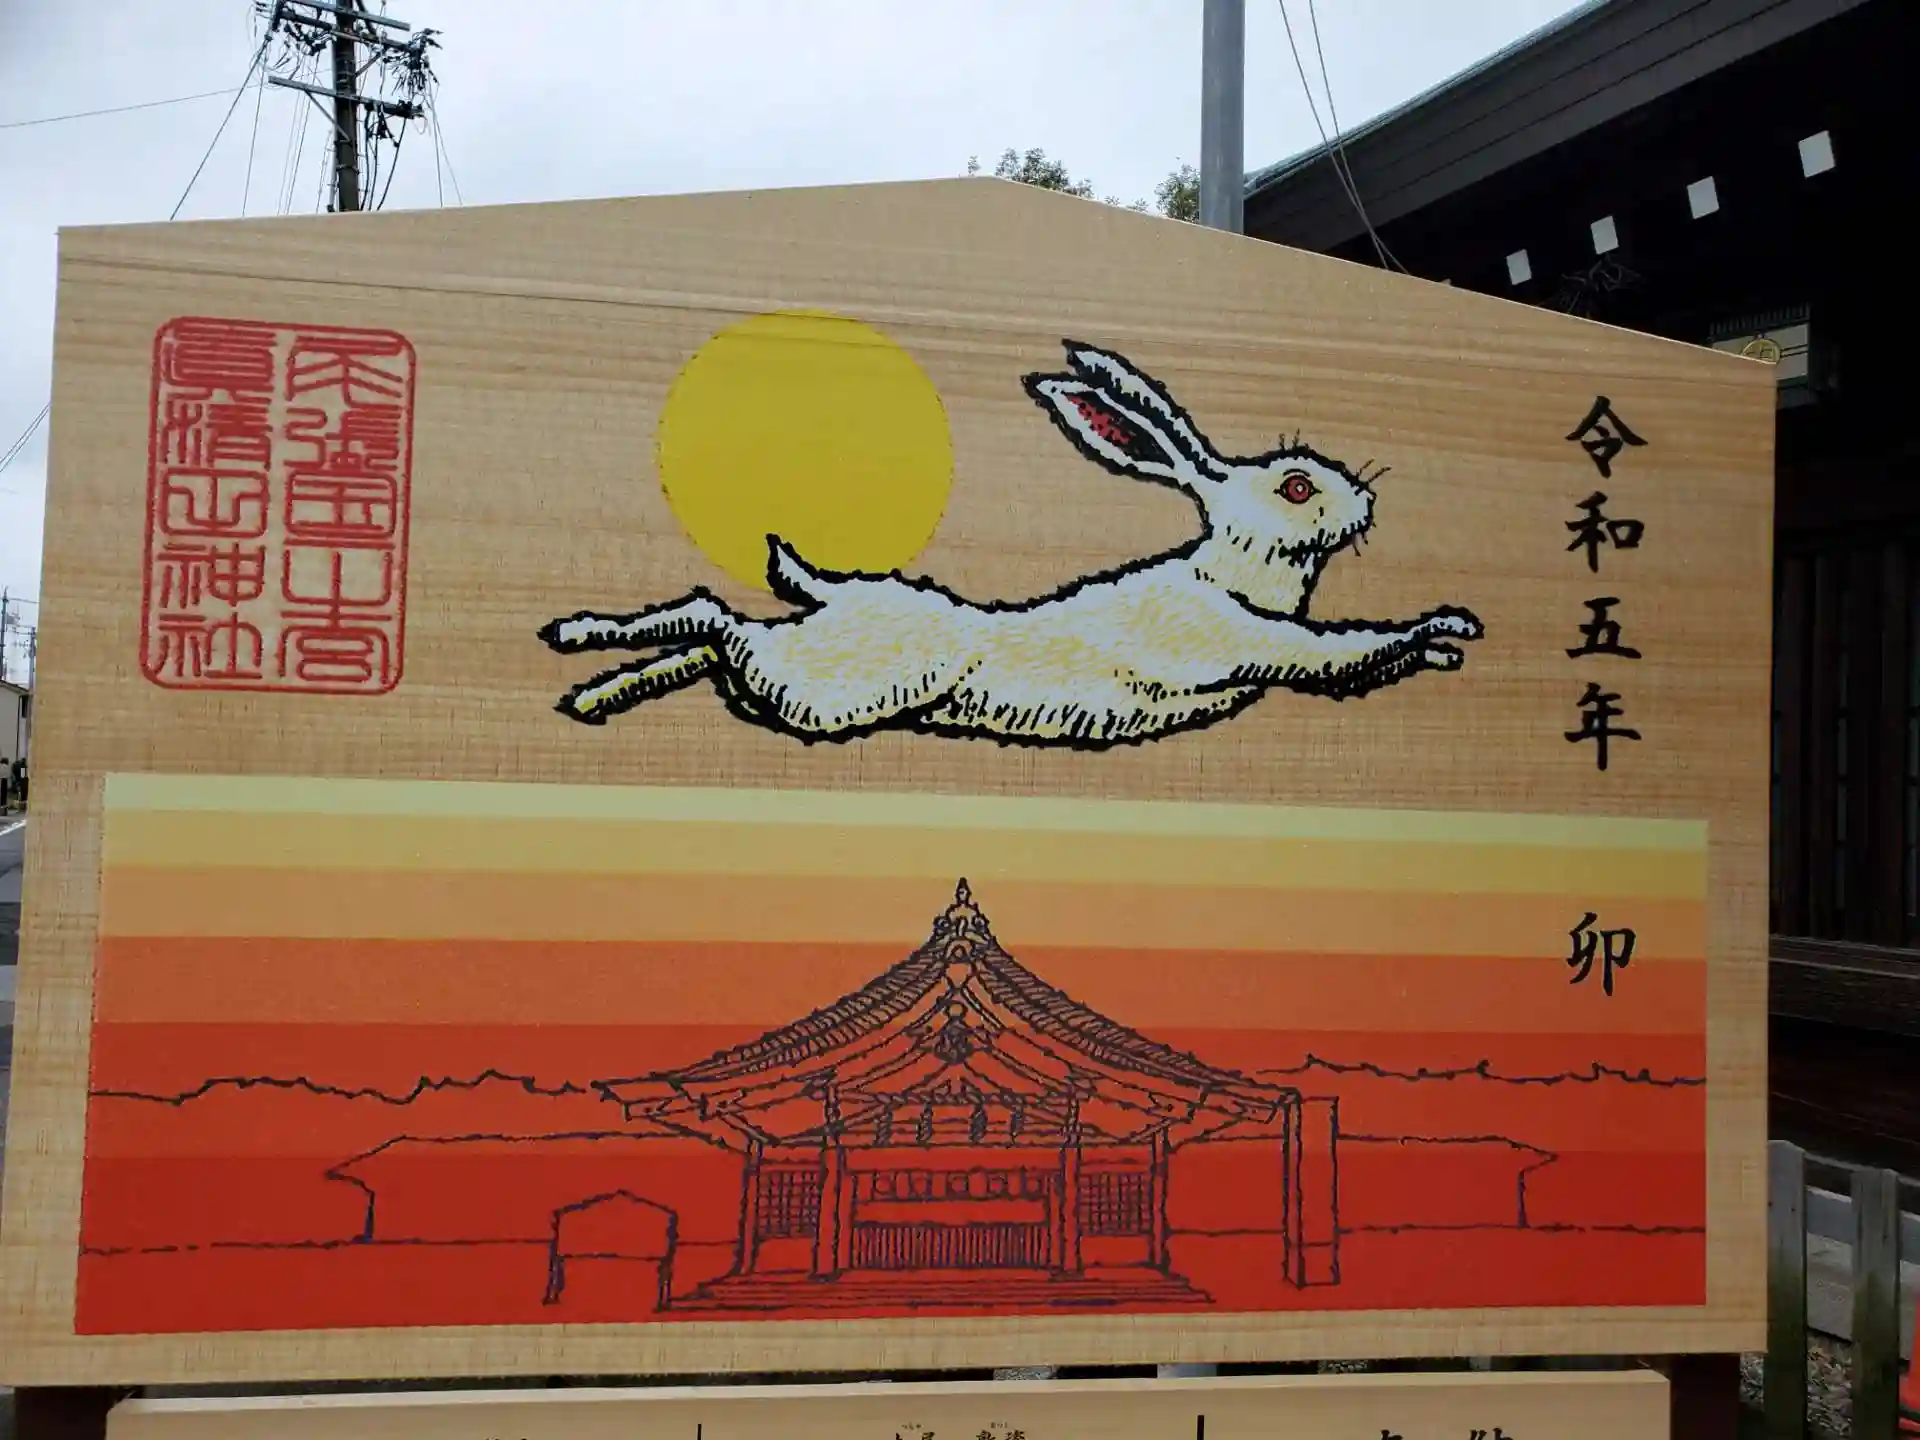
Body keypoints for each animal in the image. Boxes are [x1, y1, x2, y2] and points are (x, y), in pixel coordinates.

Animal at [537, 339, 1484, 747]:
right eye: (1295, 485)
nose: (1366, 503)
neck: (1227, 576)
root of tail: (832, 591)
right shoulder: (1245, 640)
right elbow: (1342, 650)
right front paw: (1445, 628)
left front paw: (1446, 649)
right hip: (842, 692)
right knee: (717, 624)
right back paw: (577, 647)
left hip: (797, 674)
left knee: (714, 639)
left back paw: (594, 687)